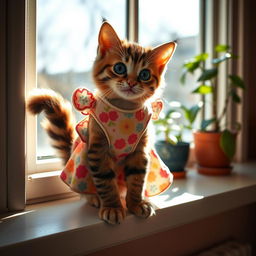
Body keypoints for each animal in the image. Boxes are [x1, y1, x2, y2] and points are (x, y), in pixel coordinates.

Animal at [27, 22, 177, 224]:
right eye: (120, 68)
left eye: (145, 74)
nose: (131, 83)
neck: (124, 109)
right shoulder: (97, 149)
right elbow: (106, 181)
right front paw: (113, 207)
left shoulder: (141, 151)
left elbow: (137, 179)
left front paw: (136, 203)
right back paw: (94, 198)